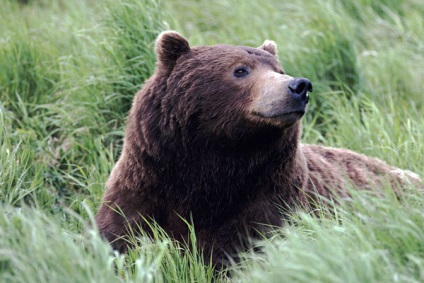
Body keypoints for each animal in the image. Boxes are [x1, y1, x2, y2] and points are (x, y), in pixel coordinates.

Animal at [96, 31, 420, 268]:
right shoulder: (147, 185)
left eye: (279, 69)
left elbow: (249, 246)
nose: (299, 86)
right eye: (240, 70)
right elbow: (124, 236)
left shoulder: (268, 197)